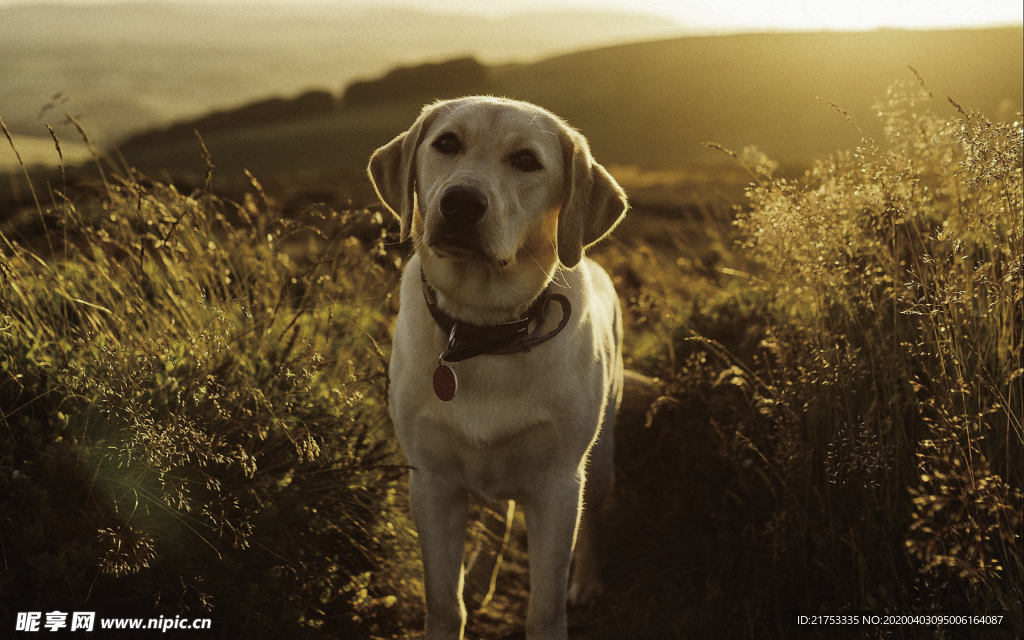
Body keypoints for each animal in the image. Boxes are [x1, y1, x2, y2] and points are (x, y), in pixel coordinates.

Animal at [366, 97, 622, 638]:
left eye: (527, 160)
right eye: (446, 143)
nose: (461, 203)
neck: (483, 329)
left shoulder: (557, 486)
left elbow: (545, 609)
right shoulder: (432, 482)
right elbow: (445, 602)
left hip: (601, 457)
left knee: (593, 520)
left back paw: (587, 582)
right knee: (496, 519)